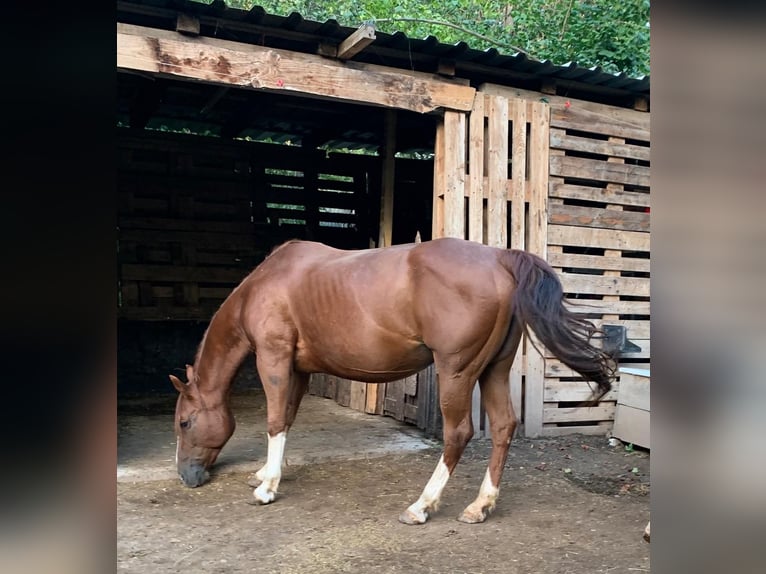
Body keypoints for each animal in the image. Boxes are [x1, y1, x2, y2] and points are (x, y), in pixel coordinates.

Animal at [171, 236, 616, 524]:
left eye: (184, 422)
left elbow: (276, 420)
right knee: (505, 426)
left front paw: (267, 489)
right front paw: (265, 474)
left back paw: (422, 506)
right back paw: (480, 506)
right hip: (494, 370)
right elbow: (288, 418)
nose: (186, 477)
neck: (266, 284)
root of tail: (499, 257)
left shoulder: (274, 359)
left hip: (456, 371)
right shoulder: (298, 369)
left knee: (458, 433)